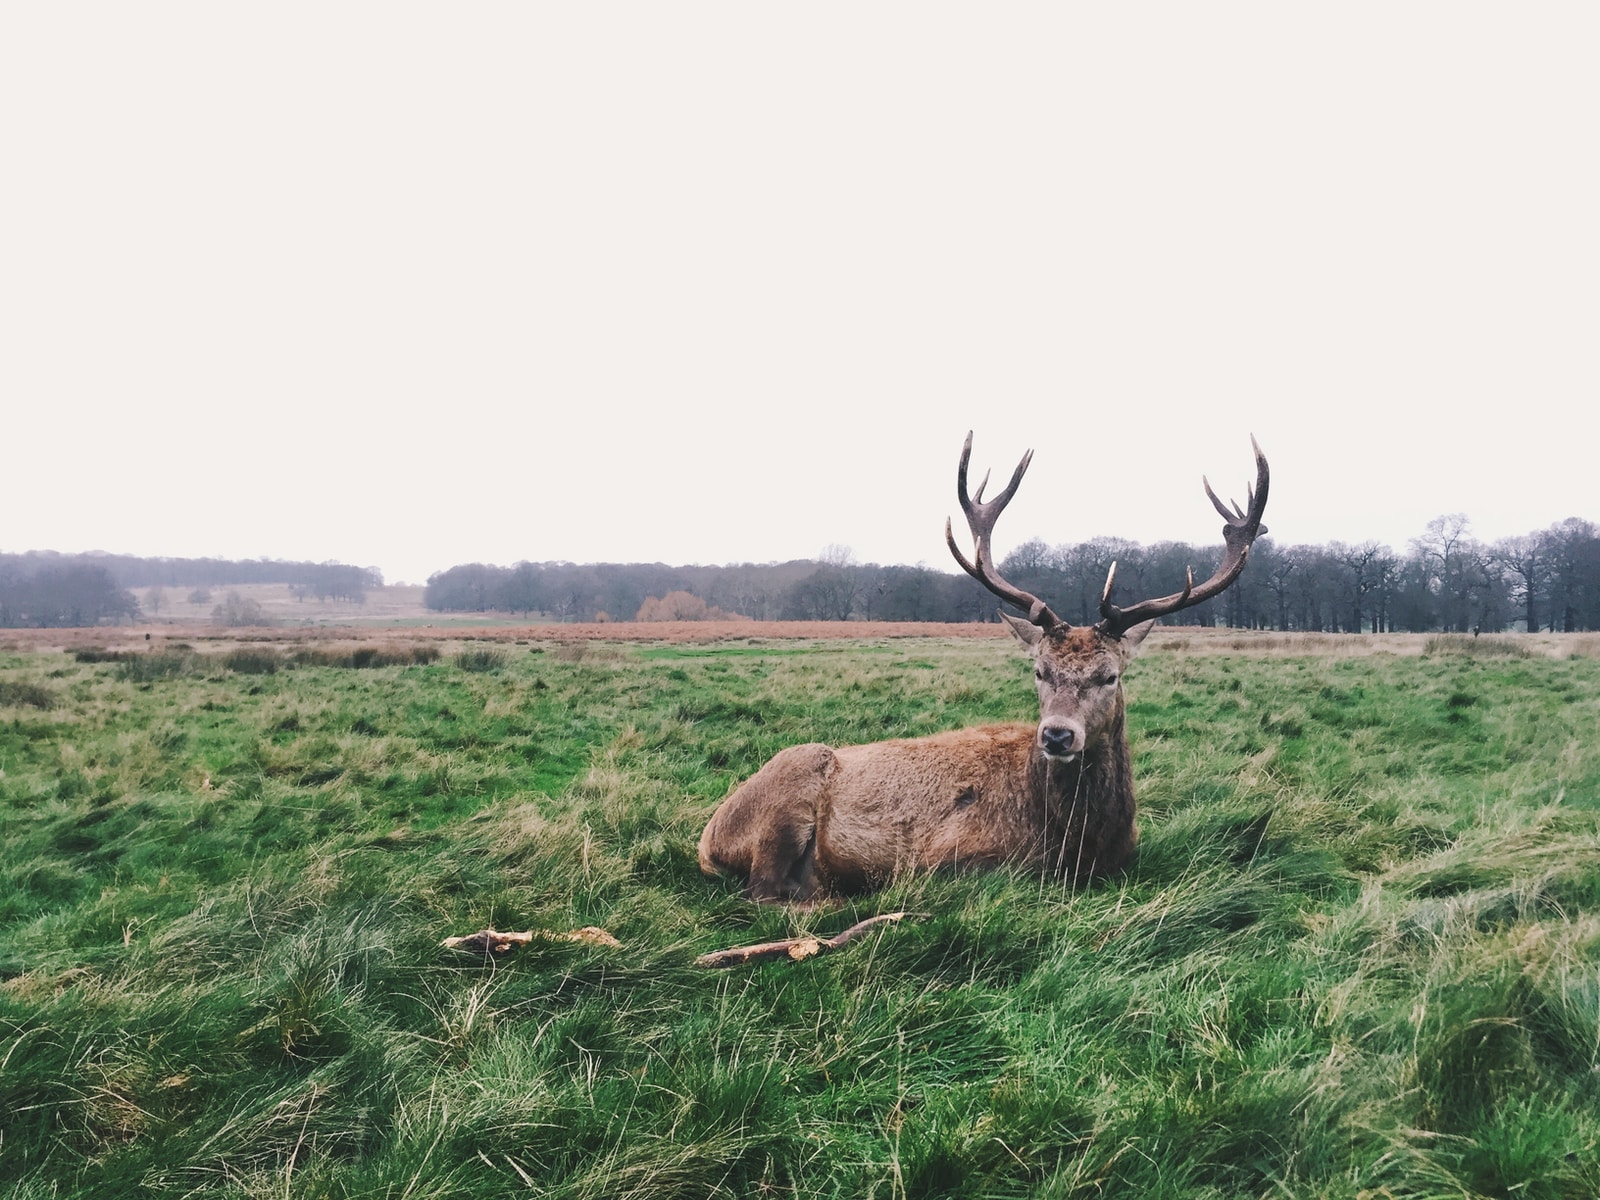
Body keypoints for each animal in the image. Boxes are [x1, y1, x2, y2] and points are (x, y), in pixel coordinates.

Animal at [697, 433, 1269, 903]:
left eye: (1110, 675)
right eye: (1038, 670)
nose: (1057, 735)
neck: (1077, 845)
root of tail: (709, 835)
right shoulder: (950, 857)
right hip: (787, 797)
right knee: (764, 892)